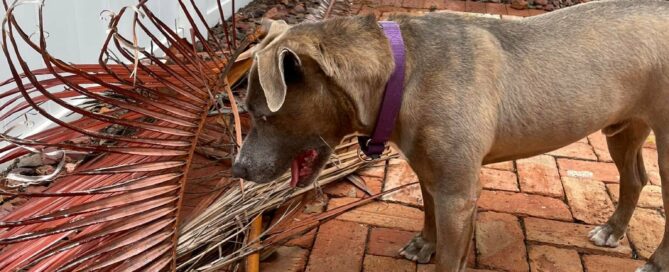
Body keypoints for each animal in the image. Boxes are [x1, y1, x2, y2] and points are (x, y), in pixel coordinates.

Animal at [232, 1, 668, 270]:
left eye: (261, 115)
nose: (238, 169)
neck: (402, 71)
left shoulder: (457, 195)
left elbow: (449, 257)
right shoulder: (431, 172)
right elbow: (427, 210)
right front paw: (425, 243)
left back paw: (655, 261)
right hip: (624, 127)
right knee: (634, 178)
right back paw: (613, 230)